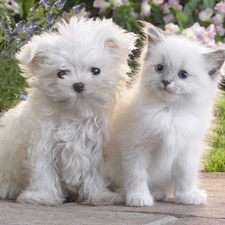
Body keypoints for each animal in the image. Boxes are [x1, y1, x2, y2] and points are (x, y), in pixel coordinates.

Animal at [0, 16, 137, 206]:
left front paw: (100, 196)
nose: (78, 85)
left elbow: (95, 174)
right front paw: (42, 197)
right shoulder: (43, 144)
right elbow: (44, 171)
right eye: (61, 73)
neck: (75, 116)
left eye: (96, 70)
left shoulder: (96, 149)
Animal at [105, 22, 225, 206]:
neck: (170, 112)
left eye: (183, 74)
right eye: (159, 68)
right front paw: (139, 197)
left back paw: (158, 192)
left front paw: (187, 195)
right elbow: (136, 175)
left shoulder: (187, 149)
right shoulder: (136, 146)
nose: (166, 82)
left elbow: (186, 175)